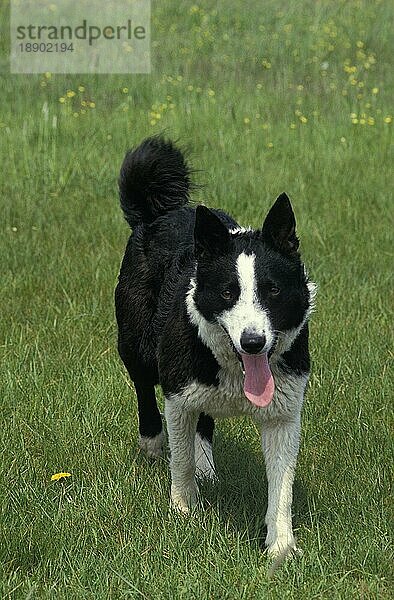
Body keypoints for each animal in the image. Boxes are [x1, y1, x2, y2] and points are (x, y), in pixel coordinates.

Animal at [115, 136, 316, 556]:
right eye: (227, 293)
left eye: (273, 290)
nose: (253, 343)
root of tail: (161, 211)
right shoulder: (177, 392)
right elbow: (180, 460)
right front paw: (183, 511)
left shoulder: (284, 412)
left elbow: (282, 483)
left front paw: (281, 547)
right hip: (135, 341)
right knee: (144, 386)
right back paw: (153, 443)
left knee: (203, 420)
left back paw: (207, 465)